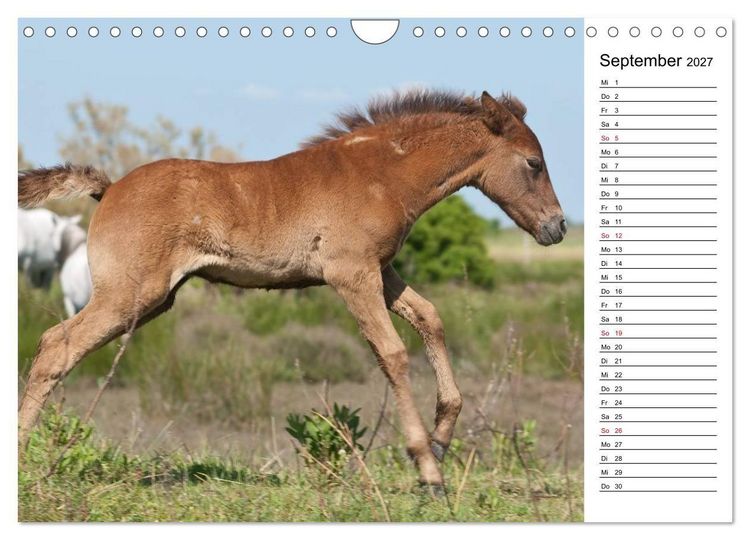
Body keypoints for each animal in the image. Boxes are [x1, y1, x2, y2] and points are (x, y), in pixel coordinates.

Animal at [17, 90, 566, 489]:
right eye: (534, 163)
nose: (558, 227)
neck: (381, 174)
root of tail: (109, 189)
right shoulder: (351, 274)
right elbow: (391, 352)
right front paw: (427, 469)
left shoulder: (381, 271)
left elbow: (430, 318)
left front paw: (442, 439)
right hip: (130, 295)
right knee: (56, 345)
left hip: (148, 301)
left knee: (55, 344)